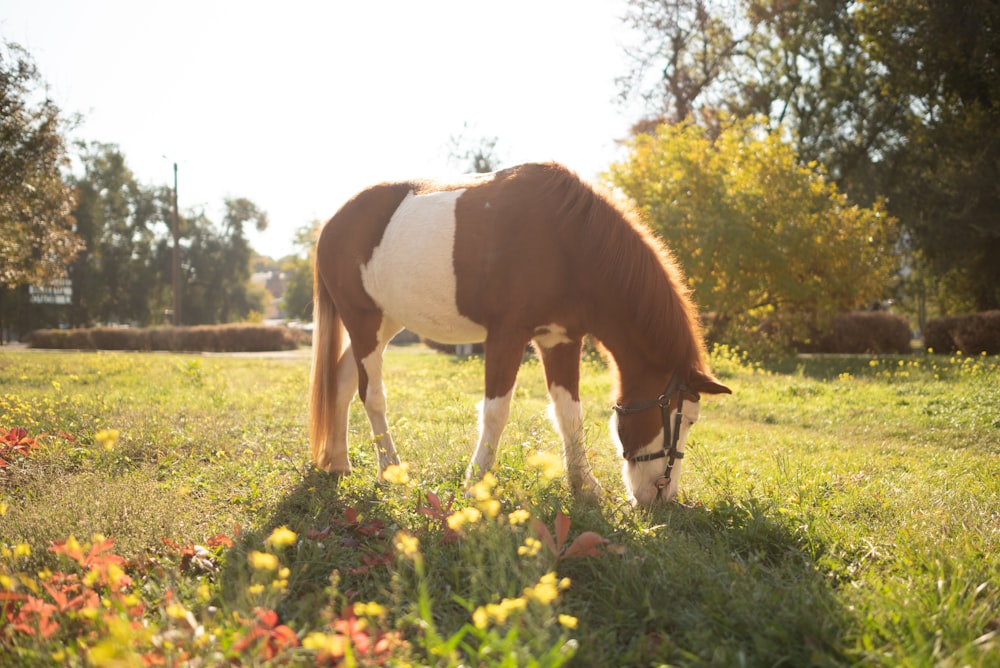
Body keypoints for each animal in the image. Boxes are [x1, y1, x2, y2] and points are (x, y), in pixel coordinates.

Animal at [308, 163, 732, 506]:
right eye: (686, 420)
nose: (662, 496)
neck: (569, 241)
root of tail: (331, 223)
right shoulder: (506, 337)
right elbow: (496, 412)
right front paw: (476, 483)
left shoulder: (561, 340)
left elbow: (569, 414)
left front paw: (585, 487)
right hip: (363, 322)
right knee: (372, 396)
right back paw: (389, 470)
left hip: (384, 323)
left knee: (341, 383)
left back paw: (339, 463)